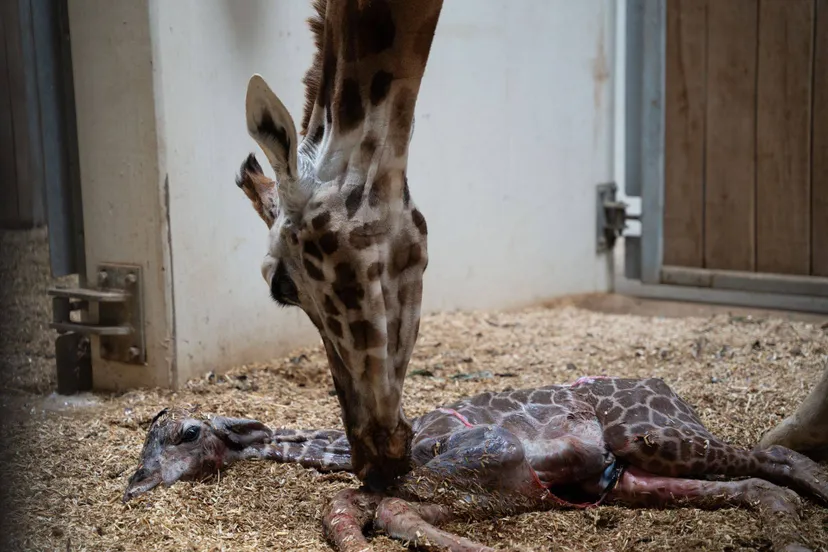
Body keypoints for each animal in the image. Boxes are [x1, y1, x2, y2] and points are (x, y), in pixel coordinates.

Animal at [123, 376, 828, 552]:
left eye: (188, 432)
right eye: (144, 440)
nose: (134, 486)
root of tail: (671, 391)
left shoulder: (498, 461)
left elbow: (391, 510)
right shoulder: (513, 488)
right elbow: (369, 510)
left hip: (654, 437)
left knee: (774, 453)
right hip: (631, 477)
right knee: (758, 486)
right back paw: (791, 536)